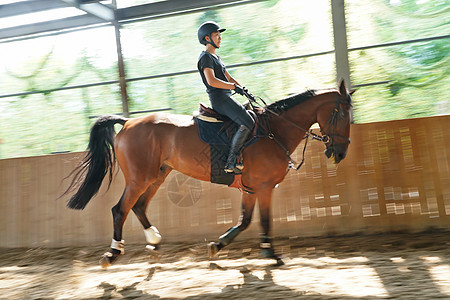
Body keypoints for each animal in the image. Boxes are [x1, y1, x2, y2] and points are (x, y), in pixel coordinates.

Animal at [63, 79, 354, 268]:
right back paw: (112, 254)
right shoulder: (263, 187)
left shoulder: (251, 188)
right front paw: (271, 254)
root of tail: (128, 121)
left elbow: (244, 221)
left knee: (139, 207)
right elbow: (263, 221)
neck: (274, 131)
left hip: (157, 175)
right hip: (139, 178)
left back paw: (154, 241)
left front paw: (218, 245)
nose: (340, 153)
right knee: (120, 209)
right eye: (342, 115)